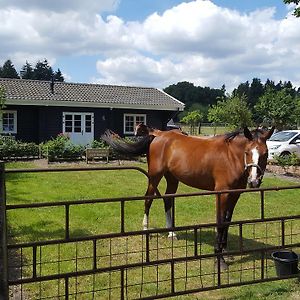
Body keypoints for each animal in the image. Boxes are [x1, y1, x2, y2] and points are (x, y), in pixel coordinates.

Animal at [102, 126, 276, 270]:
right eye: (247, 152)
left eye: (265, 153)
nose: (254, 181)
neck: (231, 156)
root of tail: (158, 135)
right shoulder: (222, 193)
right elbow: (220, 223)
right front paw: (219, 260)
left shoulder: (235, 194)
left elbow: (227, 221)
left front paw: (225, 250)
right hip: (154, 176)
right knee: (148, 199)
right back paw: (145, 229)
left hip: (172, 178)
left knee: (167, 199)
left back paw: (172, 234)